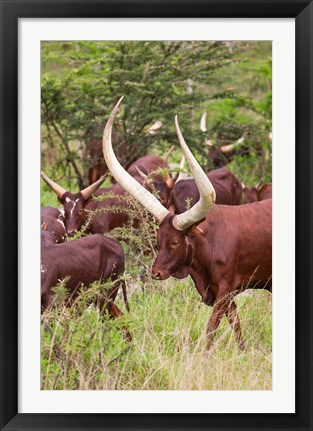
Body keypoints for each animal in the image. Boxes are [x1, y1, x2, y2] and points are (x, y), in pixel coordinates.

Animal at [102, 97, 270, 352]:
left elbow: (211, 328)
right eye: (158, 241)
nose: (156, 273)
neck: (208, 242)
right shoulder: (220, 293)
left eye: (174, 242)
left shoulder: (224, 290)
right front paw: (242, 352)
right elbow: (236, 325)